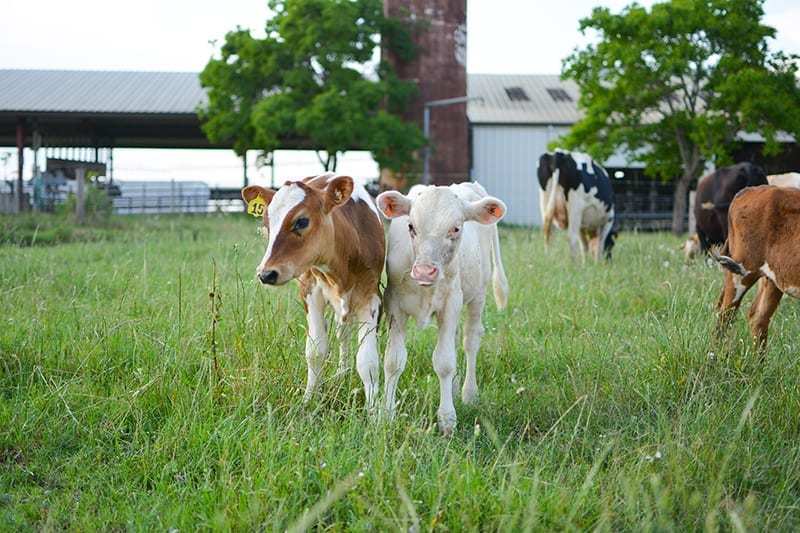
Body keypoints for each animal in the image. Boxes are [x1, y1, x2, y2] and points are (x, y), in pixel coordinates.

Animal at [241, 172, 384, 410]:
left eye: (301, 221)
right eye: (266, 223)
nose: (266, 273)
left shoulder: (371, 296)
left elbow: (368, 361)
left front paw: (375, 411)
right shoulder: (310, 292)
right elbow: (315, 351)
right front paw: (309, 400)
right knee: (342, 333)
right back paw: (342, 374)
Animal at [376, 181, 506, 434]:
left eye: (455, 228)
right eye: (411, 226)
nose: (425, 271)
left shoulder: (450, 304)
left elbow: (444, 362)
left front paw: (447, 419)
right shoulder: (394, 304)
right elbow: (393, 360)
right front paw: (386, 414)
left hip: (479, 293)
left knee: (470, 340)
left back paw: (468, 393)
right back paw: (454, 389)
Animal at [712, 184, 800, 350]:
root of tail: (750, 189)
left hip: (773, 277)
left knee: (758, 317)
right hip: (742, 271)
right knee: (725, 314)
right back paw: (714, 355)